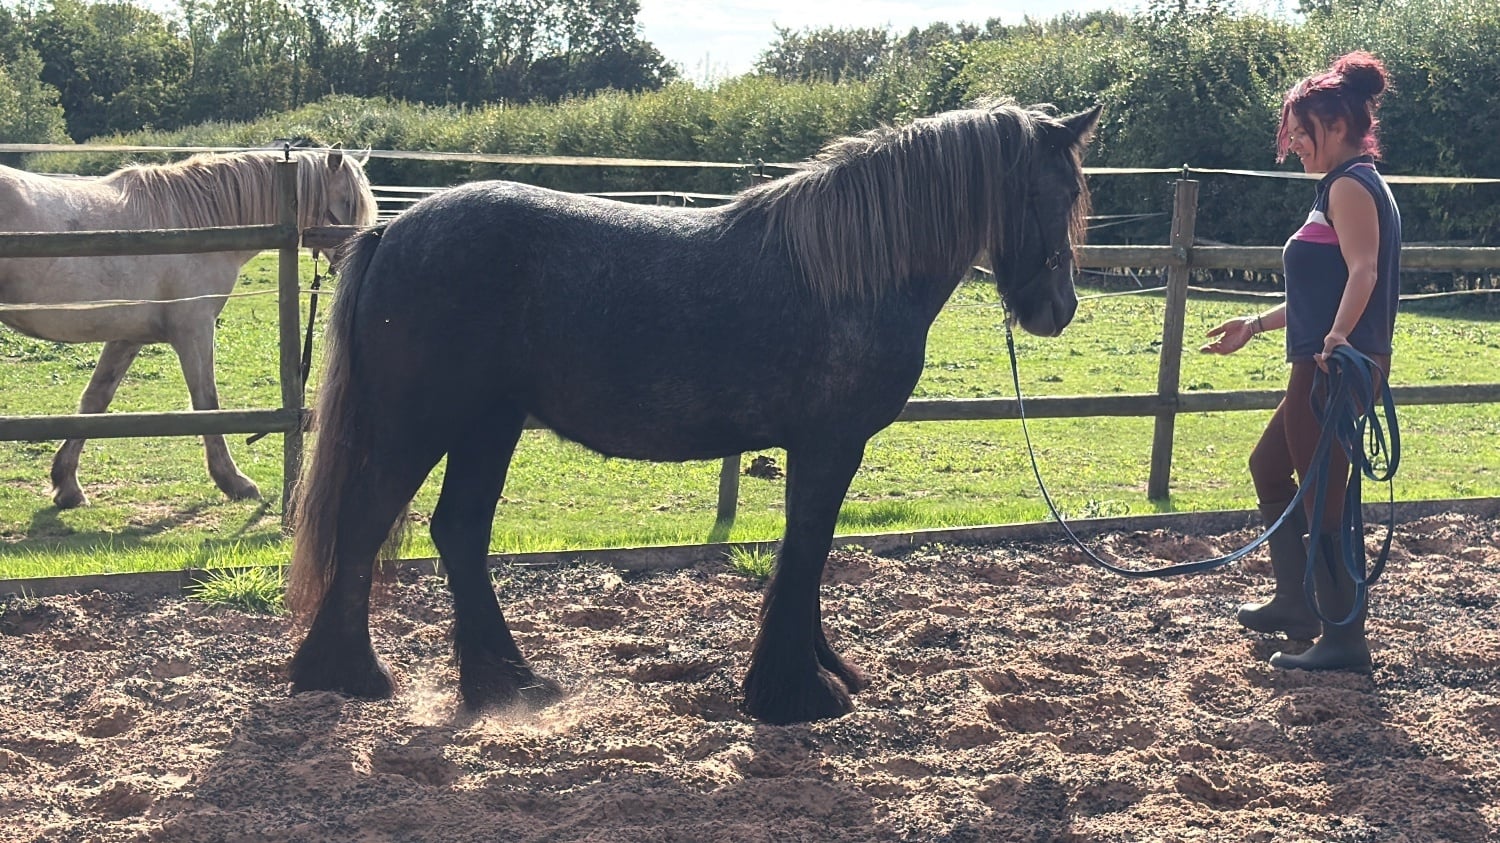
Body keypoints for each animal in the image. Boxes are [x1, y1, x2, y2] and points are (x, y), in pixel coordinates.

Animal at [0, 149, 378, 508]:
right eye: (347, 201)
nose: (355, 263)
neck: (195, 225)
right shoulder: (194, 329)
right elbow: (207, 402)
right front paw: (234, 482)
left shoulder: (127, 337)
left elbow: (95, 400)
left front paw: (67, 485)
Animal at [287, 102, 1101, 725]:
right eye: (1057, 191)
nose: (1059, 309)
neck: (851, 270)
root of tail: (392, 231)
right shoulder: (831, 443)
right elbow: (808, 547)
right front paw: (796, 694)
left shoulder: (817, 447)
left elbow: (808, 550)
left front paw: (818, 671)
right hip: (421, 424)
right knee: (365, 523)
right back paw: (352, 674)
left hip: (489, 425)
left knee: (458, 532)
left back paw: (507, 682)